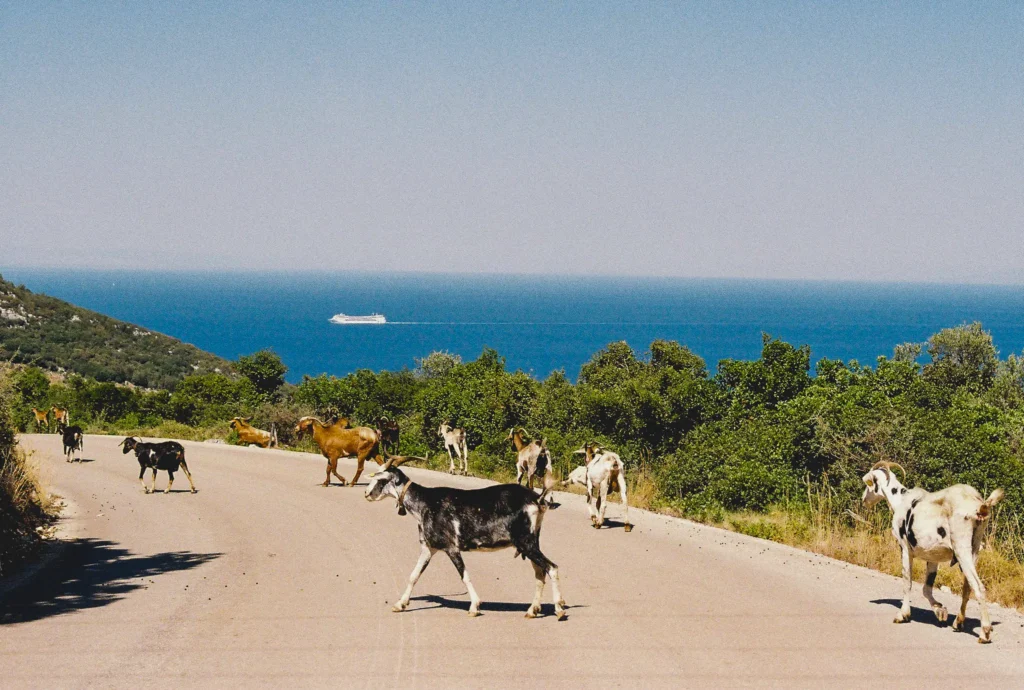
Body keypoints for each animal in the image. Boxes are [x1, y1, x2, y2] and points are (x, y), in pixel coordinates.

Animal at [364, 467, 566, 620]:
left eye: (381, 480)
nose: (366, 493)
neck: (425, 504)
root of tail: (537, 499)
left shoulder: (451, 547)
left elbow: (464, 576)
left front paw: (475, 607)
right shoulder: (429, 547)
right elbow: (414, 575)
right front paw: (400, 604)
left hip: (526, 542)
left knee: (552, 567)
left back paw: (559, 610)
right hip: (531, 543)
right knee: (540, 573)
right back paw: (532, 611)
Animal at [862, 460, 1004, 643]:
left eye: (868, 483)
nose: (864, 500)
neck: (901, 500)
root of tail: (979, 505)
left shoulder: (905, 548)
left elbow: (907, 581)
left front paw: (903, 615)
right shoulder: (933, 556)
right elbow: (926, 587)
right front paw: (940, 611)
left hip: (961, 549)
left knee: (979, 587)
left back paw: (984, 632)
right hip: (974, 549)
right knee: (967, 587)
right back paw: (958, 622)